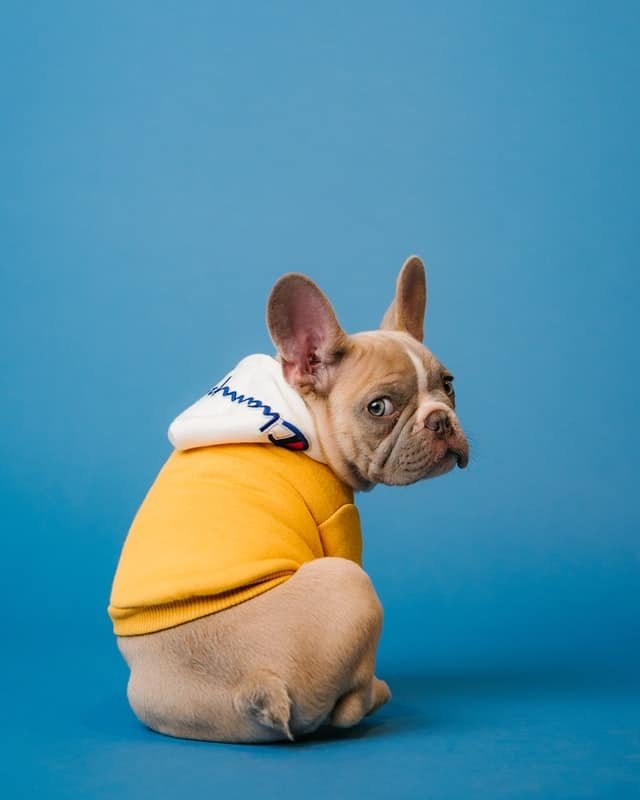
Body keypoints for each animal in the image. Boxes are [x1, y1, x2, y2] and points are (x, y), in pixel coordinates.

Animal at [109, 258, 470, 744]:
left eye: (449, 386)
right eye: (379, 408)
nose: (440, 420)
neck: (302, 417)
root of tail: (255, 682)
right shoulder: (339, 522)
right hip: (349, 583)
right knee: (346, 708)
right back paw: (377, 692)